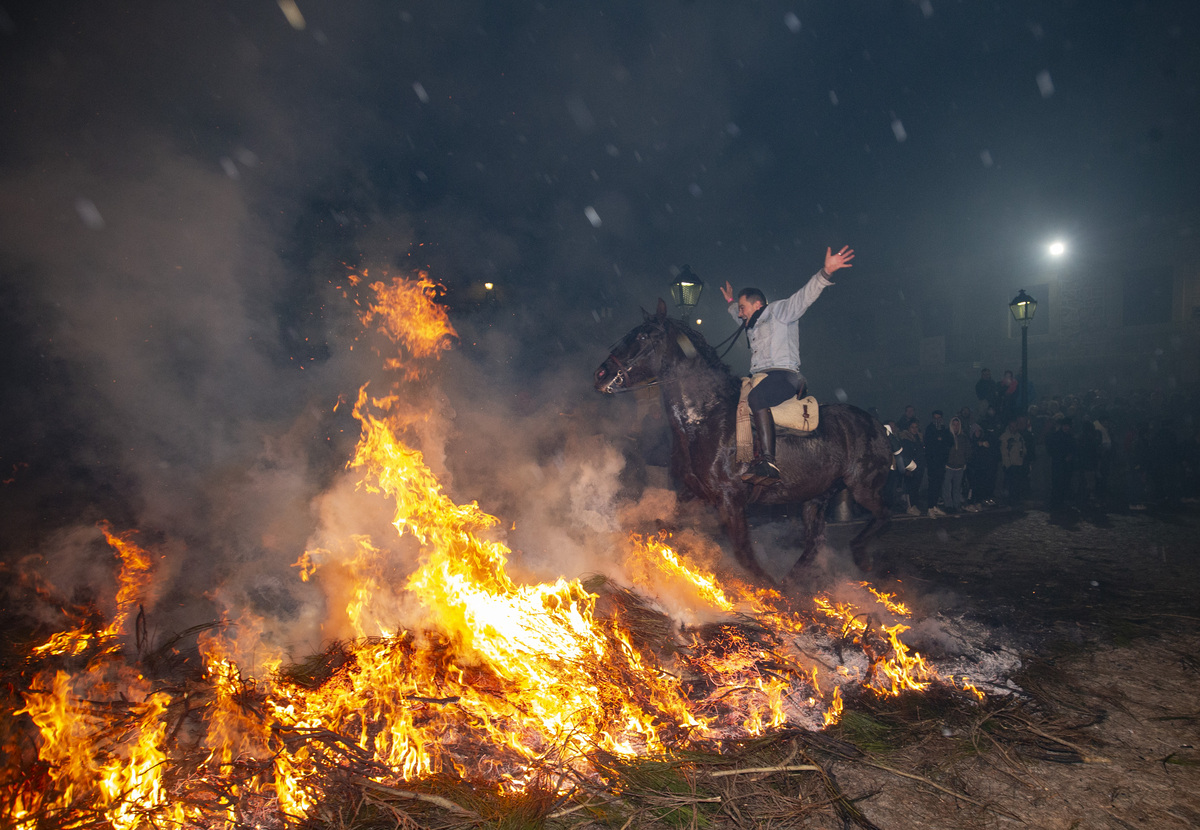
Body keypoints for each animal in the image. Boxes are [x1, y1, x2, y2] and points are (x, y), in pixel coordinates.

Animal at [595, 299, 897, 582]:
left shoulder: (731, 499)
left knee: (884, 514)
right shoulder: (694, 491)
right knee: (815, 542)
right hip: (816, 496)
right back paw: (791, 581)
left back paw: (859, 556)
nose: (601, 374)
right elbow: (666, 523)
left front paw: (766, 586)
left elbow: (743, 553)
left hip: (863, 488)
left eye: (643, 336)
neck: (704, 417)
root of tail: (879, 426)